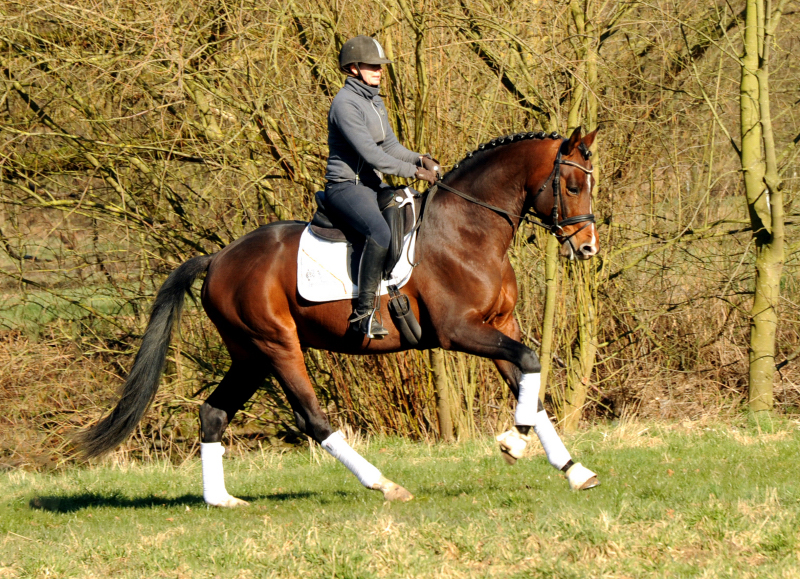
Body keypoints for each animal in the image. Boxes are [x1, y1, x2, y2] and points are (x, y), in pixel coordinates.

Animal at [81, 128, 600, 508]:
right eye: (572, 186)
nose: (588, 248)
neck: (468, 230)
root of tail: (219, 257)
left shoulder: (500, 325)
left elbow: (531, 386)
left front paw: (575, 471)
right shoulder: (462, 332)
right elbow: (530, 362)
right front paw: (513, 443)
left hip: (248, 355)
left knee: (213, 413)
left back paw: (221, 501)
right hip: (277, 345)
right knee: (312, 418)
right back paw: (384, 484)